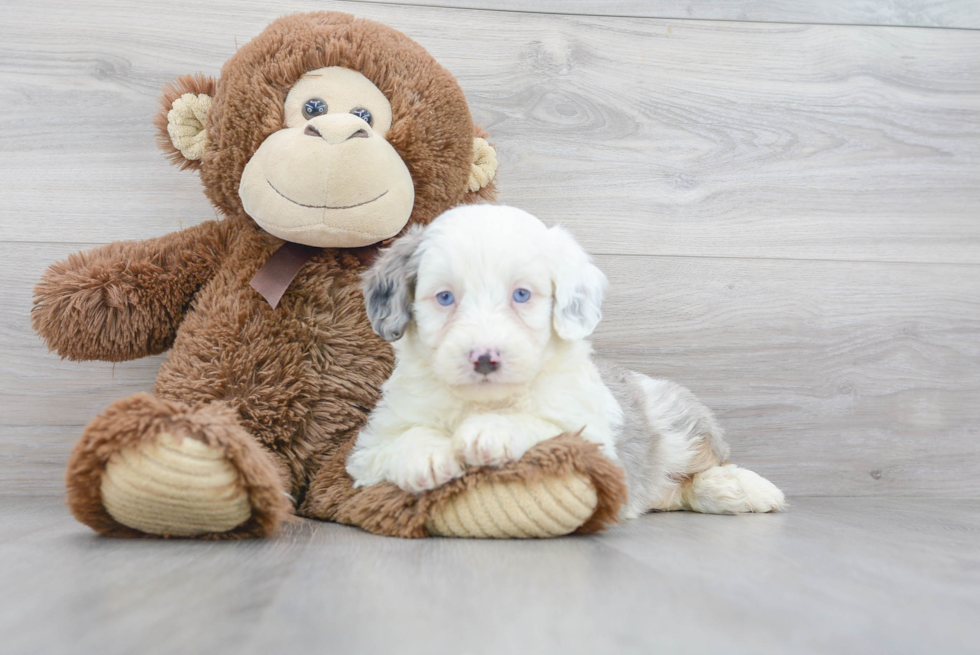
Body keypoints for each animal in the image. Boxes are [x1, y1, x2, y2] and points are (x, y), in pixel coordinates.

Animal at [348, 205, 784, 516]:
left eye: (521, 295)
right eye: (444, 297)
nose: (484, 359)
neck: (483, 400)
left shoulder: (591, 436)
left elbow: (543, 426)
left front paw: (491, 432)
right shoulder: (368, 449)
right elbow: (399, 441)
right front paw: (425, 456)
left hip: (681, 425)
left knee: (704, 470)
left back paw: (746, 489)